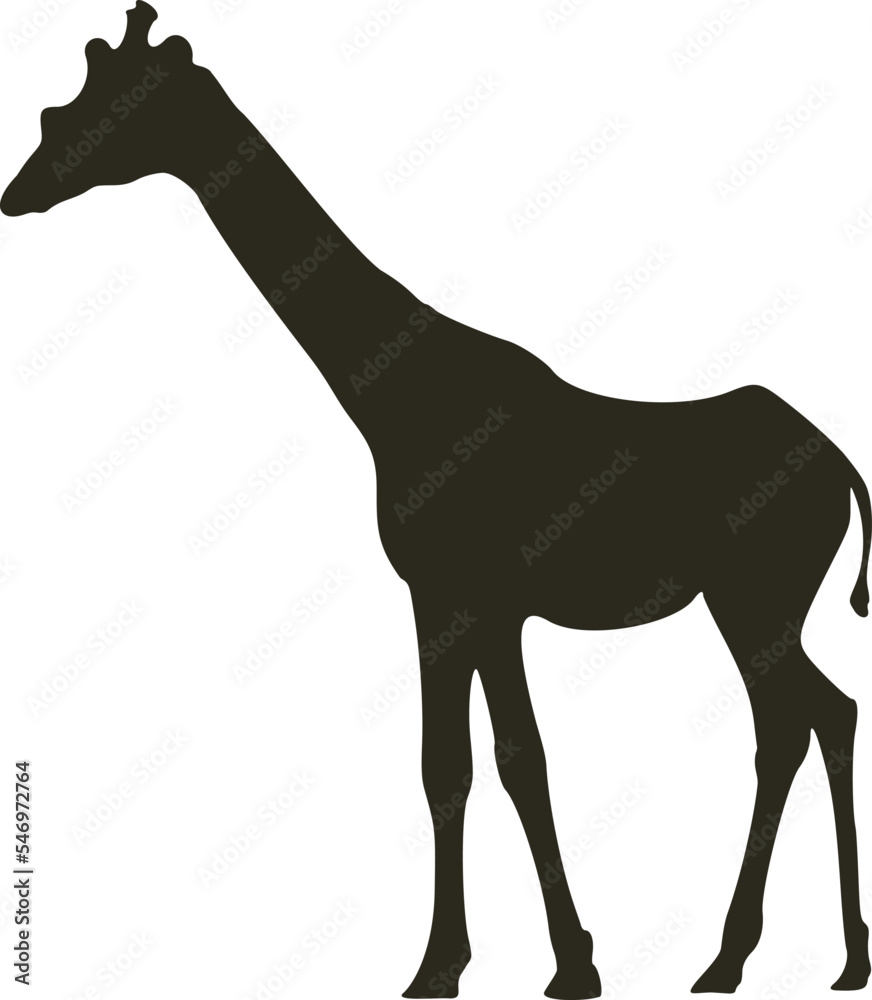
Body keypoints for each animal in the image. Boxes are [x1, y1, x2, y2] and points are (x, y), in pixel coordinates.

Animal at [3, 4, 870, 997]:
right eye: (61, 105)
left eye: (94, 107)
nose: (17, 193)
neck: (393, 393)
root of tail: (842, 463)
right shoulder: (467, 606)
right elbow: (469, 764)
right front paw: (501, 964)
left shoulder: (462, 595)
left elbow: (489, 762)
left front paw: (506, 968)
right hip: (760, 606)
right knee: (824, 712)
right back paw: (829, 957)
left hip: (753, 600)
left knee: (792, 723)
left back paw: (736, 958)